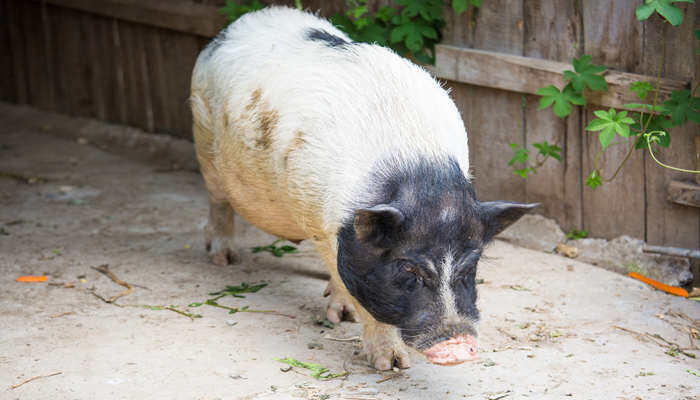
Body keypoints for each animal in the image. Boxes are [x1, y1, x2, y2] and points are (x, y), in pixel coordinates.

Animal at [189, 6, 532, 370]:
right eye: (407, 267)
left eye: (470, 267)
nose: (457, 345)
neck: (418, 170)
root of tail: (238, 25)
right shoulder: (324, 225)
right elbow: (356, 288)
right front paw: (389, 363)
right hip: (204, 139)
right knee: (218, 201)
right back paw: (223, 259)